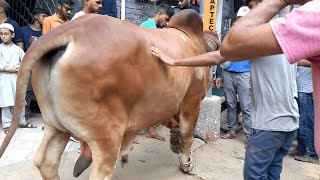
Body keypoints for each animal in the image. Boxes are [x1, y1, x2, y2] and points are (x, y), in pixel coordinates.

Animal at [0, 9, 219, 179]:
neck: (193, 42)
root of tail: (70, 30)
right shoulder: (192, 102)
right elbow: (188, 135)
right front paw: (187, 165)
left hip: (55, 125)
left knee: (46, 160)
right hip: (106, 137)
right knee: (101, 169)